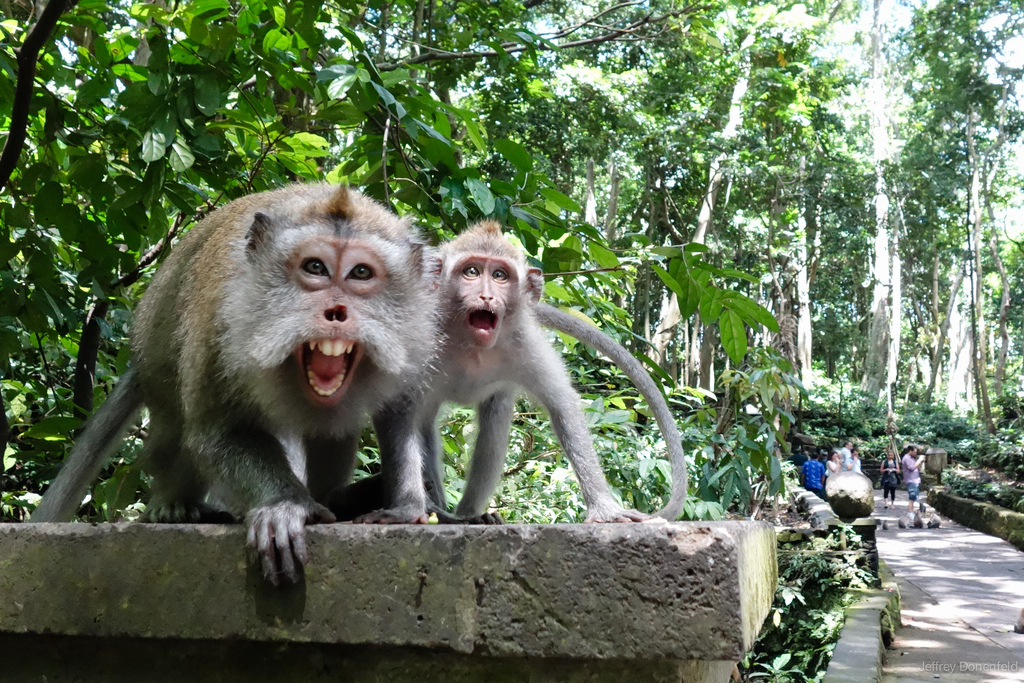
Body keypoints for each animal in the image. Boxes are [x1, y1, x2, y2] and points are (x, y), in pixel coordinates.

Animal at [31, 184, 438, 584]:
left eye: (361, 273)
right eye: (315, 267)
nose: (336, 312)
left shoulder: (415, 337)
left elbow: (401, 414)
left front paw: (404, 506)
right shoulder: (219, 325)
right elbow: (219, 433)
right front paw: (284, 504)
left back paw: (336, 496)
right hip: (156, 363)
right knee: (173, 428)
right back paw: (172, 505)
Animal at [351, 221, 687, 525]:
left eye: (499, 275)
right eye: (471, 272)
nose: (486, 296)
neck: (470, 346)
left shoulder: (525, 346)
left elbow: (561, 405)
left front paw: (605, 510)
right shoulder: (417, 337)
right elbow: (395, 409)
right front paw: (407, 510)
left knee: (495, 416)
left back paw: (470, 515)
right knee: (422, 421)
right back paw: (443, 511)